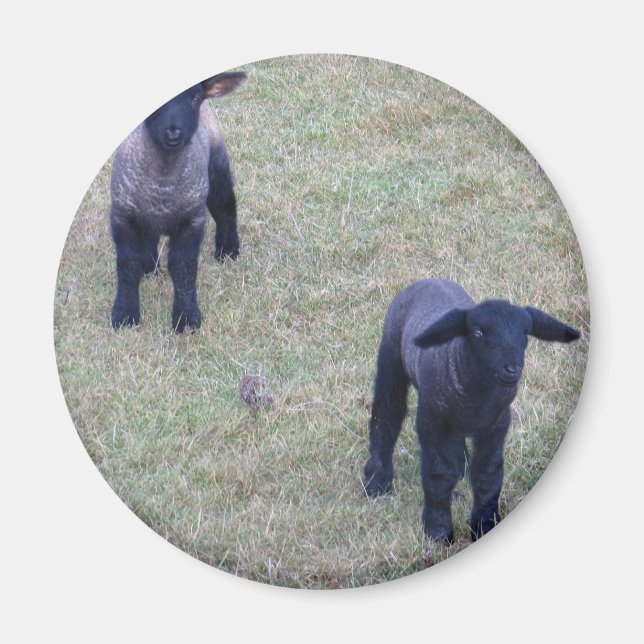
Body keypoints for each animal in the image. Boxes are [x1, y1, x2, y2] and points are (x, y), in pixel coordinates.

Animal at [110, 71, 247, 332]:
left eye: (194, 98)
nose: (173, 132)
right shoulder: (123, 216)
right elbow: (127, 265)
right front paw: (124, 314)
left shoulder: (192, 221)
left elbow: (183, 267)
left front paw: (186, 318)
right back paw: (150, 267)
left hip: (217, 167)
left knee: (225, 207)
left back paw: (228, 249)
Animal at [363, 278, 581, 544]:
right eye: (477, 332)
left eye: (525, 333)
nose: (512, 369)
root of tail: (429, 279)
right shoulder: (430, 420)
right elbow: (438, 474)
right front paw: (438, 531)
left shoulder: (497, 423)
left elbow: (488, 474)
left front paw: (485, 525)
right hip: (391, 355)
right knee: (387, 411)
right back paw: (377, 480)